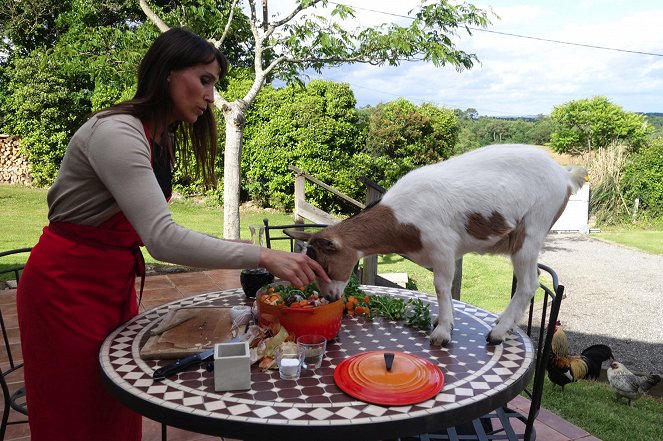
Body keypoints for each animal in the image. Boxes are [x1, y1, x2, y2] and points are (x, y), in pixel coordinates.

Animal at [288, 143, 588, 346]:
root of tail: (564, 176)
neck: (401, 217)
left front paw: (442, 332)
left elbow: (442, 287)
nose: (329, 297)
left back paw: (497, 333)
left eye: (325, 265)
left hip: (533, 227)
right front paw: (443, 322)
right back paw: (506, 324)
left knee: (528, 283)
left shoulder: (443, 248)